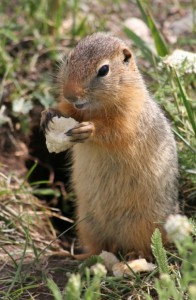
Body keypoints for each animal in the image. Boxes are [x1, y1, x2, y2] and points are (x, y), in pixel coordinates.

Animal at [41, 32, 179, 258]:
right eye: (69, 59)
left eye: (104, 70)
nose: (70, 94)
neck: (94, 109)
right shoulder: (73, 108)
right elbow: (66, 110)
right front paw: (48, 113)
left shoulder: (129, 115)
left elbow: (115, 131)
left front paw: (88, 129)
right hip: (88, 223)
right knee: (98, 247)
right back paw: (78, 255)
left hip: (142, 224)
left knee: (144, 248)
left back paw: (132, 258)